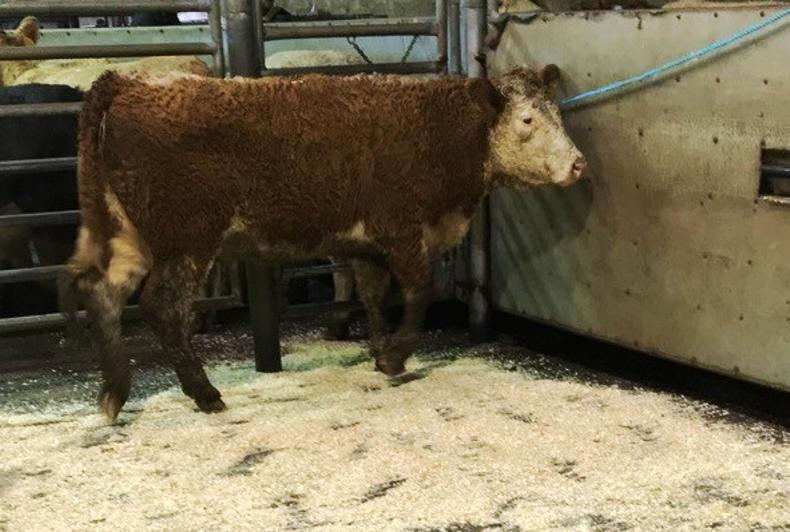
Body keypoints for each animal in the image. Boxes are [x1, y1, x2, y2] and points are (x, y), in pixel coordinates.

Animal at [59, 66, 587, 420]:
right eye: (527, 120)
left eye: (557, 113)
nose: (578, 164)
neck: (442, 127)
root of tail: (130, 80)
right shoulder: (401, 229)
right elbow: (419, 293)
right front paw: (396, 356)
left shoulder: (368, 246)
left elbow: (372, 296)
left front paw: (379, 349)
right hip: (187, 239)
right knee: (162, 307)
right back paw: (204, 393)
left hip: (132, 234)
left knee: (103, 295)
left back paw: (115, 391)